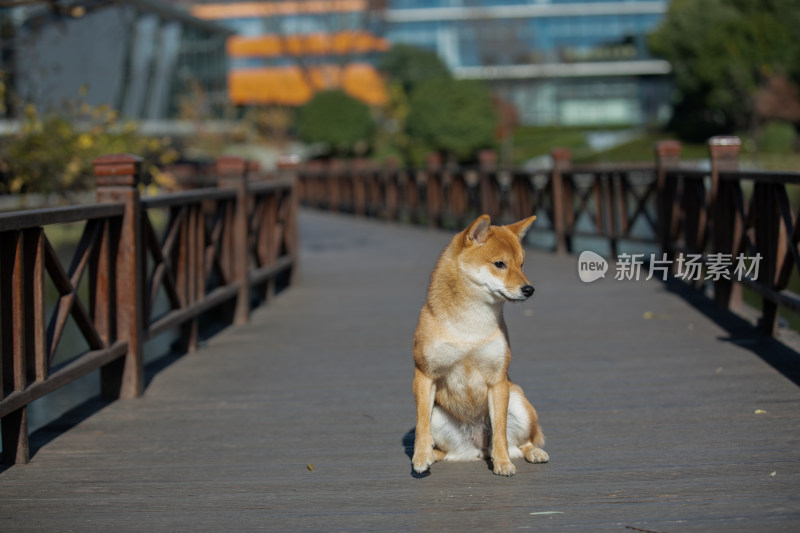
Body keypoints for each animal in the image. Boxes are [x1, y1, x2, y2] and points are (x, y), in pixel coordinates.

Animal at [412, 214, 552, 476]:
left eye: (522, 264)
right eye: (500, 264)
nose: (529, 289)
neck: (471, 326)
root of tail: (478, 448)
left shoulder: (497, 379)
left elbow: (499, 432)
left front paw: (503, 463)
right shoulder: (424, 374)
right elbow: (421, 425)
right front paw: (420, 456)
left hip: (518, 401)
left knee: (521, 444)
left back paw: (531, 453)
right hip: (439, 417)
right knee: (446, 451)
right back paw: (434, 455)